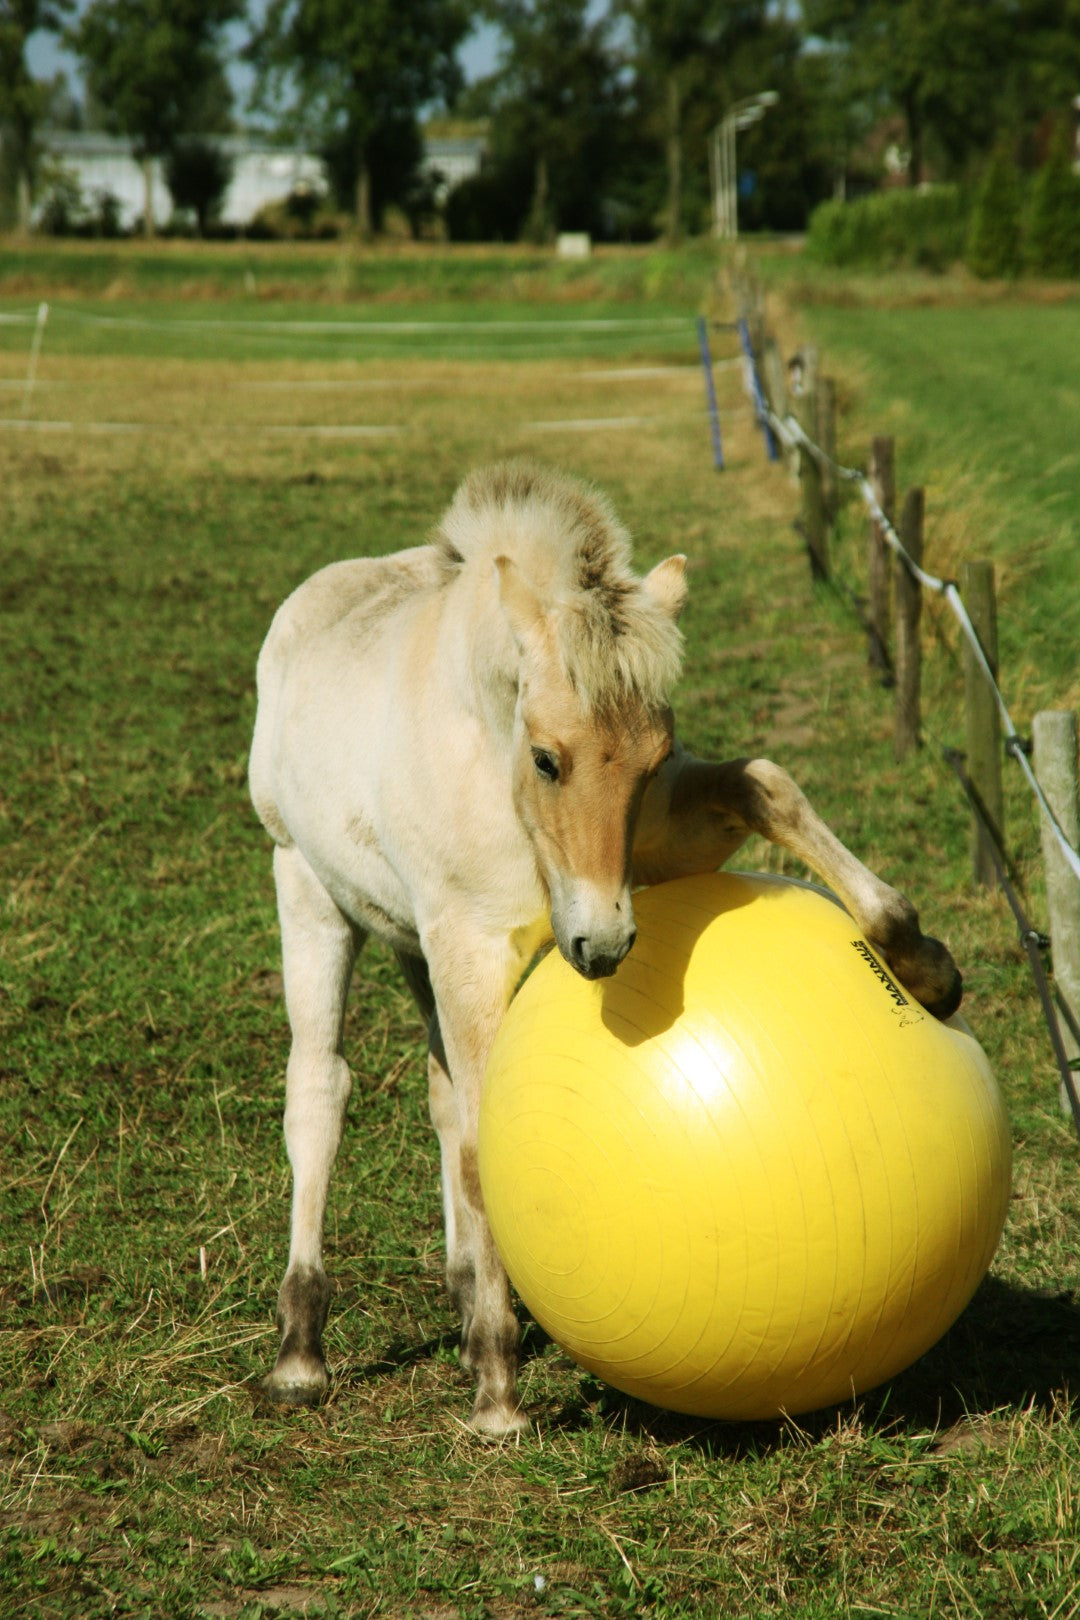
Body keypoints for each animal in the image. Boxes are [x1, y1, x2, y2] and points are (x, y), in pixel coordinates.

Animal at [247, 463, 965, 1438]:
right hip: (311, 895)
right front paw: (499, 1396)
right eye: (550, 758)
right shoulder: (471, 945)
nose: (605, 943)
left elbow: (766, 783)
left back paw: (462, 1301)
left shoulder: (650, 849)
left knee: (437, 1095)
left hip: (410, 943)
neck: (492, 754)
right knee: (320, 1089)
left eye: (652, 755)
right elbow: (482, 1144)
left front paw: (926, 967)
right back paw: (303, 1351)